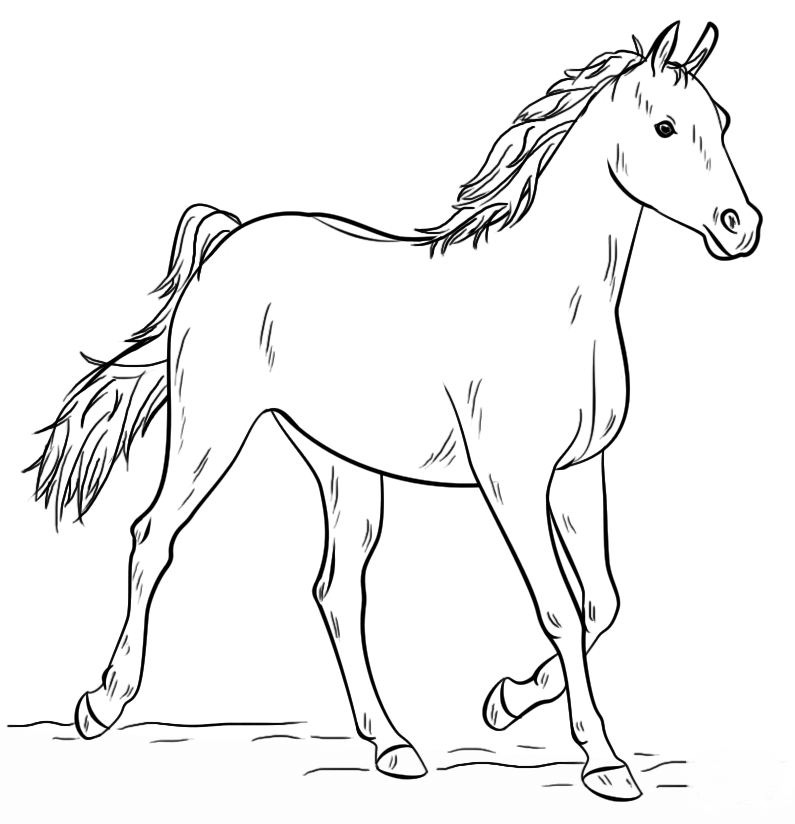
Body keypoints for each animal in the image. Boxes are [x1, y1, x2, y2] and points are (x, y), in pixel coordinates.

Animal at [27, 21, 761, 801]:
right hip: (210, 433)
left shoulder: (577, 473)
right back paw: (101, 704)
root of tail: (227, 240)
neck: (551, 301)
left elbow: (601, 603)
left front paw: (505, 702)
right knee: (153, 538)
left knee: (335, 591)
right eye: (663, 126)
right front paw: (604, 763)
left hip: (342, 466)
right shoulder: (513, 483)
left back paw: (392, 745)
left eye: (722, 121)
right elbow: (561, 610)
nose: (740, 227)